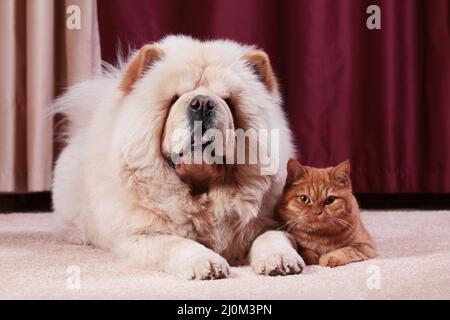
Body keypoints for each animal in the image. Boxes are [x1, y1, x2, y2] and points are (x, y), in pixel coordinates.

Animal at [53, 35, 306, 280]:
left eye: (228, 101)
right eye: (175, 98)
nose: (203, 103)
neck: (203, 191)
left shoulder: (269, 221)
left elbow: (271, 236)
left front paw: (281, 260)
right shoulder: (141, 235)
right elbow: (176, 243)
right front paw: (207, 263)